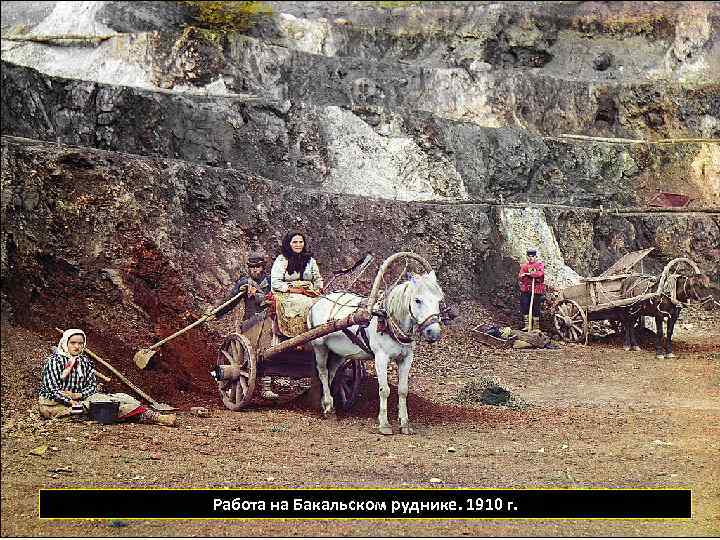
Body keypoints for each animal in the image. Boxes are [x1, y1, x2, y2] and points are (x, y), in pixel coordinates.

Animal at [306, 270, 442, 434]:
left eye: (439, 300)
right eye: (417, 300)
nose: (433, 333)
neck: (388, 321)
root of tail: (317, 302)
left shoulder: (407, 358)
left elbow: (403, 390)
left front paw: (404, 424)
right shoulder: (381, 358)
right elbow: (384, 390)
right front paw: (384, 424)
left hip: (339, 352)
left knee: (331, 372)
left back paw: (327, 404)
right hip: (319, 346)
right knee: (323, 373)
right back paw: (328, 405)